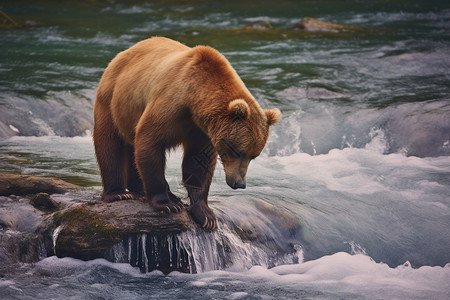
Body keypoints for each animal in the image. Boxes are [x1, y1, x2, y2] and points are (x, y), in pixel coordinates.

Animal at [92, 37, 280, 230]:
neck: (194, 101)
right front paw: (167, 203)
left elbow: (198, 163)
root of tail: (122, 54)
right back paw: (119, 193)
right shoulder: (169, 105)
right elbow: (150, 142)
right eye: (238, 151)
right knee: (109, 144)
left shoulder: (202, 130)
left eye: (254, 156)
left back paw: (140, 191)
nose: (239, 183)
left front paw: (206, 215)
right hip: (113, 100)